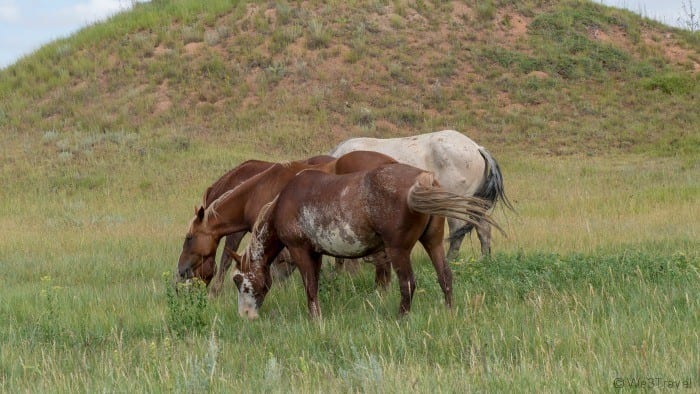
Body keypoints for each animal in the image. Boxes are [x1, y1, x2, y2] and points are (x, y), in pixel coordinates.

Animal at [227, 163, 494, 320]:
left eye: (240, 282)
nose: (245, 315)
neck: (285, 201)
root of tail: (424, 179)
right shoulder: (316, 253)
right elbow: (315, 285)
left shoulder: (300, 250)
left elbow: (310, 287)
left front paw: (315, 319)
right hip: (433, 243)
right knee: (445, 276)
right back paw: (449, 313)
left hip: (398, 250)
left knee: (407, 283)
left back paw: (400, 318)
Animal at [328, 129, 516, 258]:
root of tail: (477, 148)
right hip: (474, 205)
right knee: (483, 229)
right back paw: (485, 260)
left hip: (457, 204)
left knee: (458, 232)